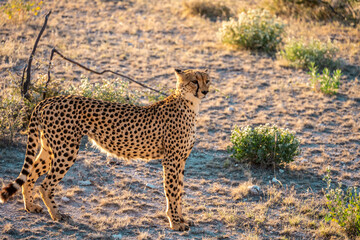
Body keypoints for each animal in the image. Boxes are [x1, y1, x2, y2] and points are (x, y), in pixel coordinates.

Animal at [0, 69, 211, 231]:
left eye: (207, 80)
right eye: (194, 81)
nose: (205, 91)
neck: (190, 104)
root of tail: (50, 99)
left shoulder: (181, 159)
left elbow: (180, 190)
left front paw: (182, 218)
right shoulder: (171, 160)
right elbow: (172, 191)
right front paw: (175, 223)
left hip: (50, 149)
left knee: (31, 174)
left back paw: (30, 206)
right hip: (67, 150)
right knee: (46, 185)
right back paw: (57, 215)